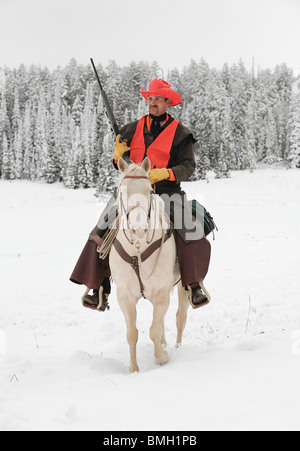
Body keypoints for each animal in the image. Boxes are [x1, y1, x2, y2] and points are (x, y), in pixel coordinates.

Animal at [109, 157, 190, 372]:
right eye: (123, 191)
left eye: (149, 191)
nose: (139, 230)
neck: (137, 250)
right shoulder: (125, 297)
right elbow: (132, 334)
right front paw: (134, 369)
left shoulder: (161, 294)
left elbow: (154, 330)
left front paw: (161, 358)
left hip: (183, 286)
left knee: (180, 317)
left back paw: (177, 348)